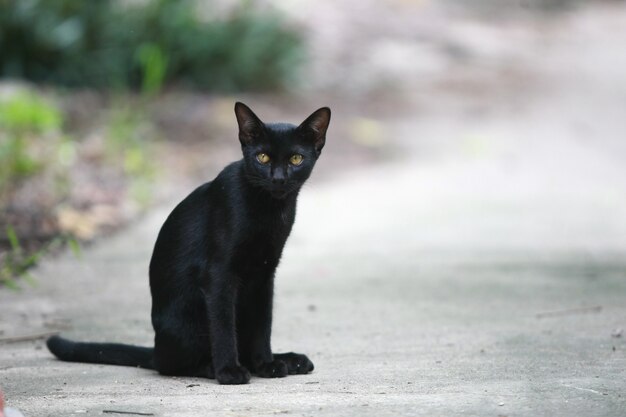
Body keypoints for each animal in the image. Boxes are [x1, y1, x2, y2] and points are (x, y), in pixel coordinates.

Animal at [46, 101, 330, 384]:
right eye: (262, 158)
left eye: (296, 159)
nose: (279, 178)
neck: (270, 209)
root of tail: (157, 347)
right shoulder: (218, 272)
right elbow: (223, 326)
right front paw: (229, 371)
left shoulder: (265, 274)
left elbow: (263, 325)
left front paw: (266, 364)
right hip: (189, 319)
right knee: (170, 365)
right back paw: (212, 367)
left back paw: (288, 360)